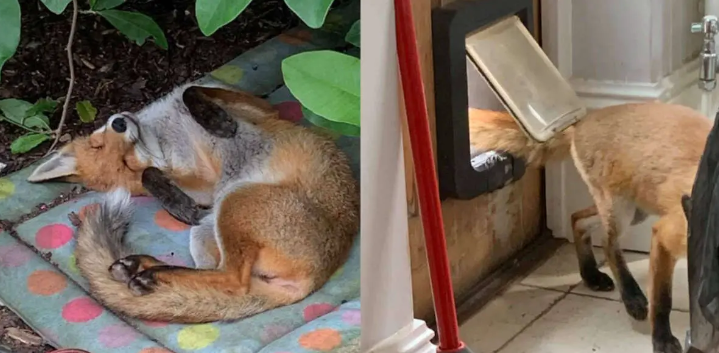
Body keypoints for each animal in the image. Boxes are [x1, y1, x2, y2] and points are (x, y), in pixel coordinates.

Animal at [27, 84, 360, 324]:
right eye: (126, 164)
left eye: (102, 145)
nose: (119, 122)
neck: (165, 134)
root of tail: (315, 278)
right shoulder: (207, 188)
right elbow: (153, 174)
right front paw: (173, 199)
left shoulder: (253, 107)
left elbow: (192, 90)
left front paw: (216, 121)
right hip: (228, 208)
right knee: (230, 280)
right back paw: (146, 270)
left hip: (219, 216)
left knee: (220, 282)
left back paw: (147, 271)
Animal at [466, 104, 716, 352]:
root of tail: (582, 119)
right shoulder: (666, 234)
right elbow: (662, 301)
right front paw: (662, 340)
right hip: (623, 211)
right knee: (607, 244)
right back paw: (630, 295)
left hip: (635, 211)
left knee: (577, 219)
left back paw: (590, 275)